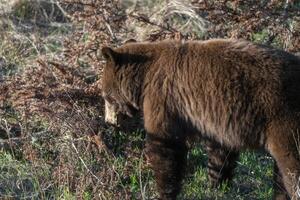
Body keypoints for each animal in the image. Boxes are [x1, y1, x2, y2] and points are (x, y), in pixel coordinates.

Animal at [101, 39, 300, 200]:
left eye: (106, 96)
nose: (109, 121)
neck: (144, 77)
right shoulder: (220, 119)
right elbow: (220, 154)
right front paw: (216, 184)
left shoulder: (164, 99)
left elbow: (165, 146)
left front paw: (165, 192)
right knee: (281, 175)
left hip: (283, 120)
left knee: (291, 166)